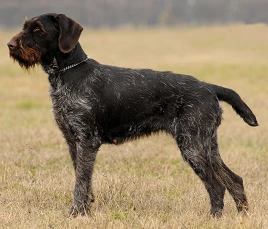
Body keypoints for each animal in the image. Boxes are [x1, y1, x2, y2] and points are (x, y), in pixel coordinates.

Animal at [6, 13, 258, 217]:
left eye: (38, 29)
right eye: (25, 26)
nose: (9, 44)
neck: (68, 73)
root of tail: (209, 87)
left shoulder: (87, 140)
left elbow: (81, 182)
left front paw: (76, 213)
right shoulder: (72, 140)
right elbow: (83, 179)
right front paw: (86, 210)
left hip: (192, 145)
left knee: (217, 186)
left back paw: (214, 218)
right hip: (207, 144)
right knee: (234, 180)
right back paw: (242, 216)